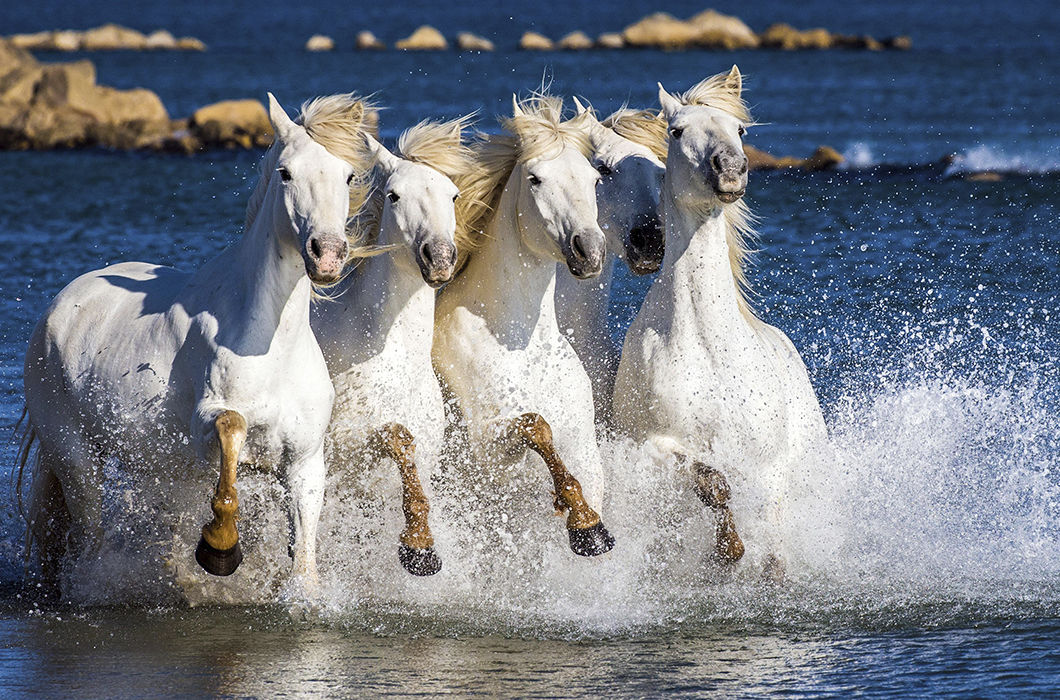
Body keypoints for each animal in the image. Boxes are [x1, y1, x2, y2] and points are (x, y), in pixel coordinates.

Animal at [19, 92, 356, 593]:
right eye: (286, 173)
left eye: (348, 175)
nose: (328, 254)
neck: (269, 346)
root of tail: (56, 309)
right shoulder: (205, 428)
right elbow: (232, 429)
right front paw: (220, 547)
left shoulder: (304, 463)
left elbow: (304, 555)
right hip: (75, 458)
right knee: (90, 534)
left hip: (160, 467)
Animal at [309, 113, 476, 572]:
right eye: (394, 195)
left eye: (453, 195)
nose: (440, 258)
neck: (393, 364)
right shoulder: (339, 449)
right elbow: (397, 436)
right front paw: (419, 546)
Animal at [430, 94, 614, 555]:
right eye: (535, 179)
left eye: (594, 179)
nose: (590, 251)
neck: (520, 346)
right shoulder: (487, 453)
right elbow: (536, 425)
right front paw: (585, 526)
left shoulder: (586, 449)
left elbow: (585, 474)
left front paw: (587, 521)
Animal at [614, 67, 826, 568]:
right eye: (676, 131)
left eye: (740, 130)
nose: (729, 168)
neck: (707, 344)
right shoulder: (652, 444)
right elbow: (711, 482)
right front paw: (727, 549)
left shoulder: (768, 465)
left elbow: (771, 539)